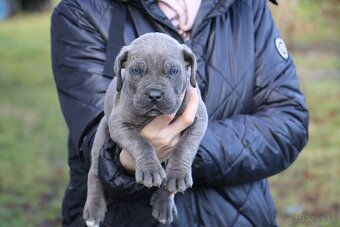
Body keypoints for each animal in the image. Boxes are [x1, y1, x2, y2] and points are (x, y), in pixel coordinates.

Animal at [83, 32, 209, 226]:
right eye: (135, 71)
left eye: (174, 71)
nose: (154, 95)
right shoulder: (118, 124)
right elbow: (141, 143)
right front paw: (150, 169)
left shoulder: (199, 118)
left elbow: (184, 147)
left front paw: (178, 175)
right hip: (101, 134)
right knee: (94, 172)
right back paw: (94, 209)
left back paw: (164, 203)